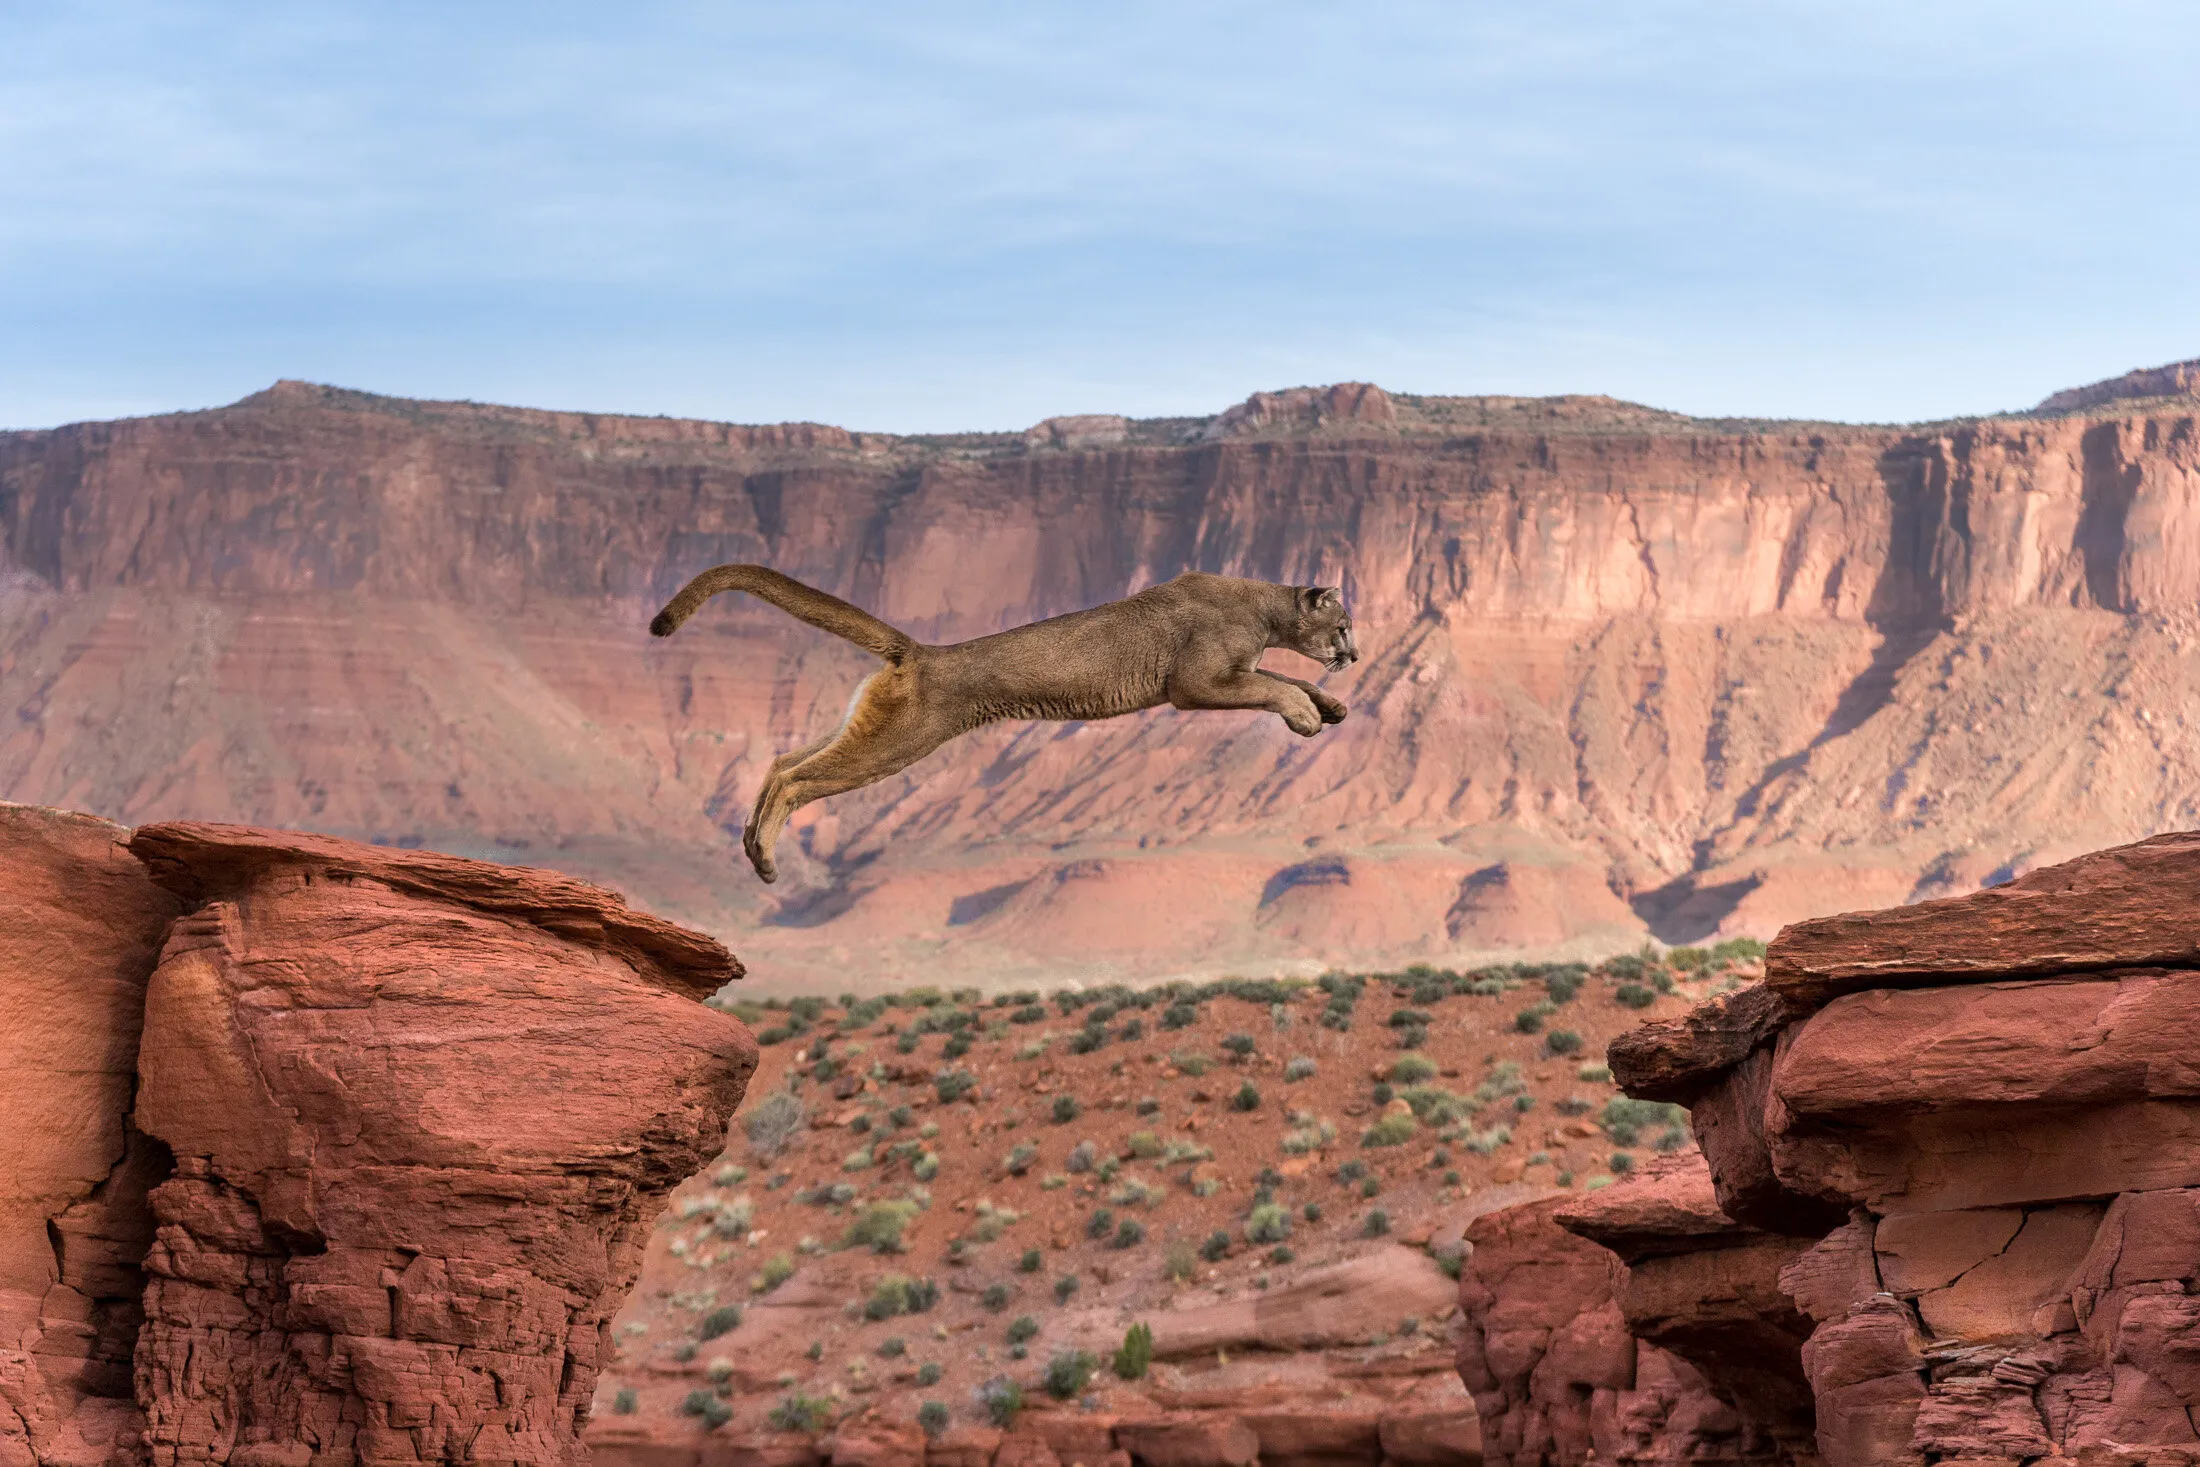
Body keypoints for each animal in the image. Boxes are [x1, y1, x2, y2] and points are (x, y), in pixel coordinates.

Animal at [649, 564, 1358, 882]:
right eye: (1344, 626)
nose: (1353, 656)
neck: (1264, 608)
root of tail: (919, 652)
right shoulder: (1196, 683)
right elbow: (1272, 683)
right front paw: (1308, 714)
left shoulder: (1226, 674)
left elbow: (1284, 676)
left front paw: (1330, 706)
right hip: (898, 741)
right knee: (799, 780)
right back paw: (767, 858)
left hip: (867, 728)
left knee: (780, 761)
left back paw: (749, 841)